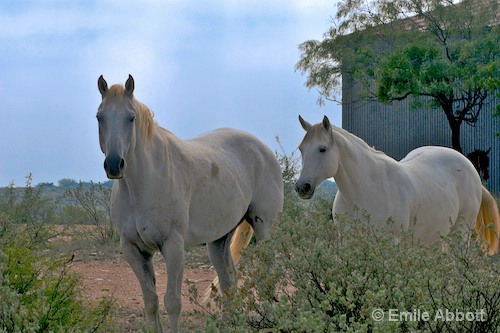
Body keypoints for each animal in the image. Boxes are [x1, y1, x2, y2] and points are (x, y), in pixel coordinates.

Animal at [95, 76, 284, 332]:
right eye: (100, 116)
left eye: (131, 118)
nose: (115, 164)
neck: (142, 185)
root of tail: (264, 150)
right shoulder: (133, 249)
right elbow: (151, 301)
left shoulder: (173, 246)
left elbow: (172, 302)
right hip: (219, 240)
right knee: (229, 284)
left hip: (264, 229)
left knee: (269, 276)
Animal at [294, 115, 498, 253]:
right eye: (301, 149)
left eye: (322, 149)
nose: (302, 187)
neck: (363, 191)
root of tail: (469, 167)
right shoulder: (347, 242)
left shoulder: (391, 243)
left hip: (461, 234)